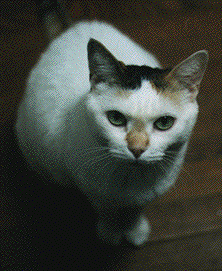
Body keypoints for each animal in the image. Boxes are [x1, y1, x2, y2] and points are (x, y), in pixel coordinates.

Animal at [15, 20, 208, 248]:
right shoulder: (92, 189)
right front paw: (110, 232)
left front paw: (135, 230)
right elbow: (106, 210)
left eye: (164, 123)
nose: (137, 149)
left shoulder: (146, 195)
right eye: (115, 118)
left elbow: (136, 210)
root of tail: (75, 27)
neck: (130, 181)